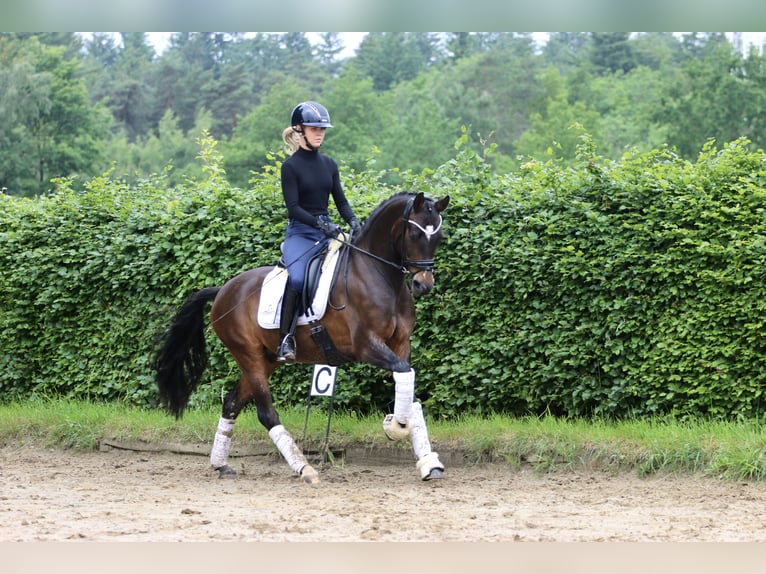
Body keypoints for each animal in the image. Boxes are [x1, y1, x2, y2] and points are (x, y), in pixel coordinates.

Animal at [154, 191, 451, 483]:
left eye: (438, 238)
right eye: (415, 235)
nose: (423, 285)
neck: (377, 274)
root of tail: (223, 290)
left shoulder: (401, 344)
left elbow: (409, 384)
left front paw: (428, 462)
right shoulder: (365, 345)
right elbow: (404, 373)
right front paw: (396, 425)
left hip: (266, 359)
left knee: (232, 403)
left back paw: (221, 465)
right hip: (248, 355)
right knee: (266, 413)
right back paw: (304, 468)